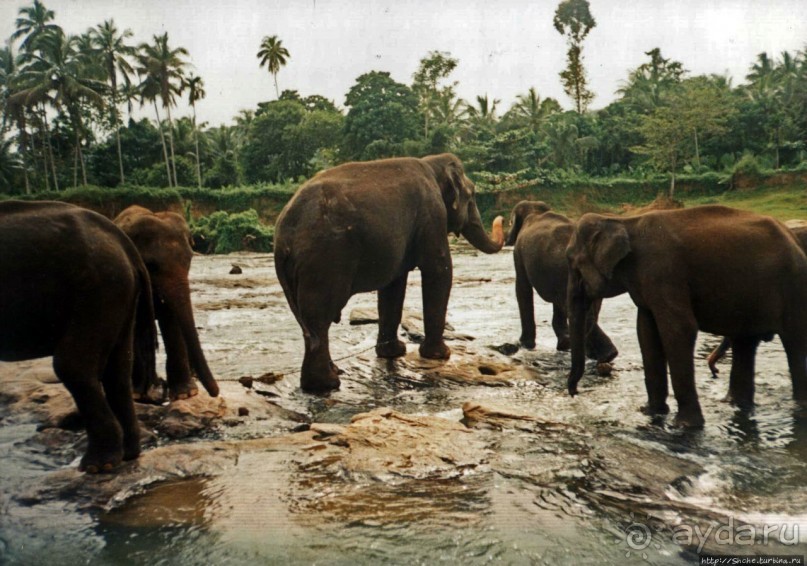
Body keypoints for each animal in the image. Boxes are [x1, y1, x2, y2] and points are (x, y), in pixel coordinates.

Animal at [0, 202, 159, 472]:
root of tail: (125, 243)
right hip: (118, 294)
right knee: (118, 367)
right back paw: (127, 455)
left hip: (97, 291)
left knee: (72, 366)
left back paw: (97, 465)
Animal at [114, 206, 221, 402]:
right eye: (150, 265)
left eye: (189, 260)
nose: (215, 393)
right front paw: (136, 394)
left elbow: (171, 320)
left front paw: (186, 394)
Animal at [278, 155, 504, 394]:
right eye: (473, 195)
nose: (501, 218)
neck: (431, 163)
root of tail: (284, 235)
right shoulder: (432, 214)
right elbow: (439, 270)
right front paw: (441, 354)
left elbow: (393, 284)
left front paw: (394, 353)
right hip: (326, 257)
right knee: (319, 318)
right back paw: (326, 384)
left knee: (307, 322)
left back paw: (332, 374)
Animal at [504, 200, 620, 364]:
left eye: (510, 222)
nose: (506, 237)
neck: (535, 210)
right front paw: (564, 343)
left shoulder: (518, 254)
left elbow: (522, 288)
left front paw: (525, 344)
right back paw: (598, 354)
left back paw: (605, 355)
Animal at [564, 206, 807, 428]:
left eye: (572, 262)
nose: (575, 393)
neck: (621, 221)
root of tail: (794, 239)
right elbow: (646, 331)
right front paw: (649, 412)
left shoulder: (664, 272)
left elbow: (679, 329)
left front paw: (684, 425)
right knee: (745, 344)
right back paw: (734, 403)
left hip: (794, 287)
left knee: (795, 344)